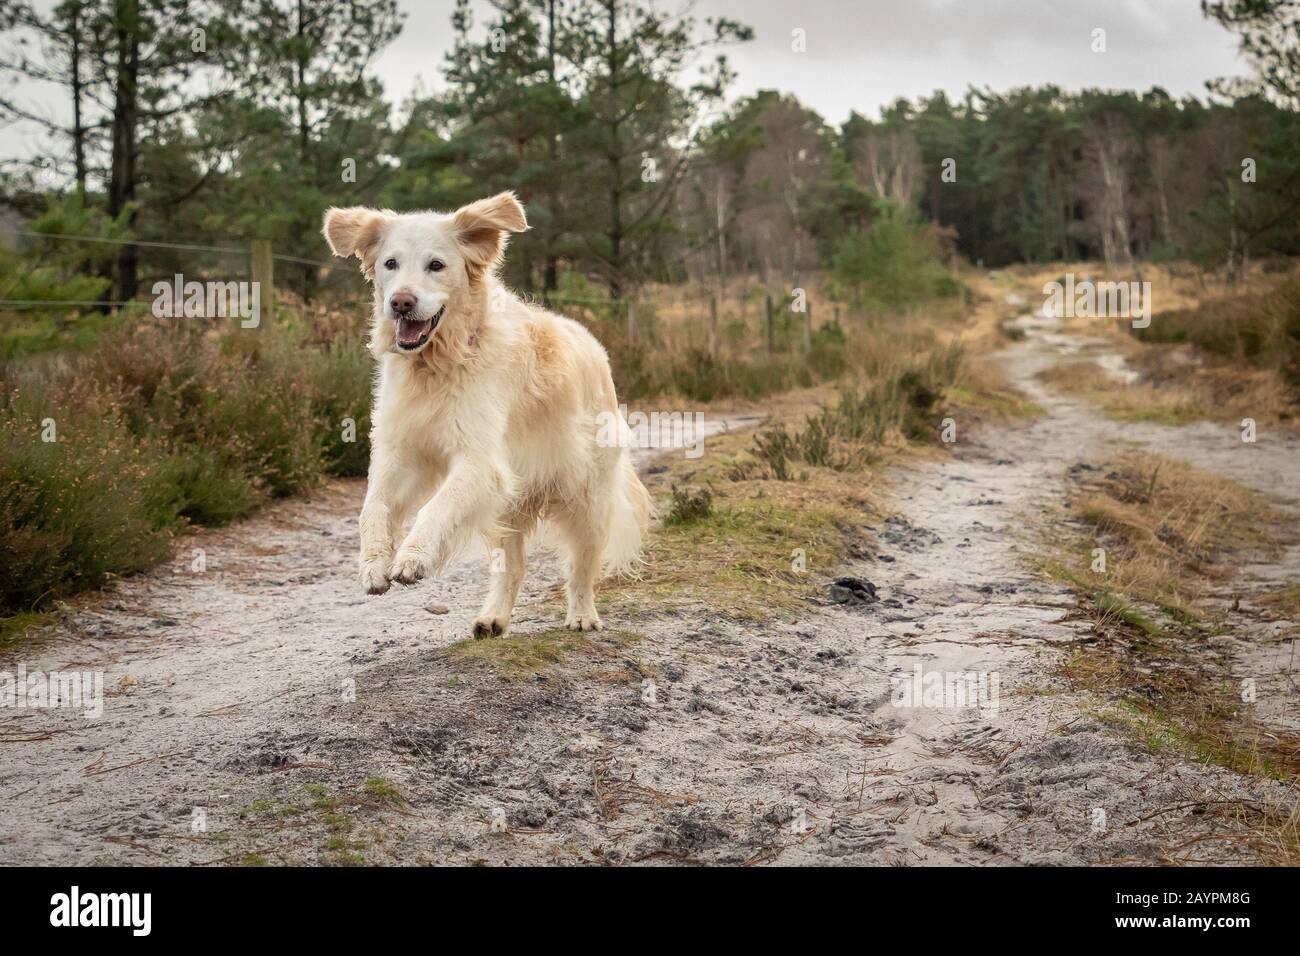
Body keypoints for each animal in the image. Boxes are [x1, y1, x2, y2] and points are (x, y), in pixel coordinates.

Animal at [325, 192, 650, 634]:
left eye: (436, 265)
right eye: (390, 264)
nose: (400, 303)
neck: (438, 364)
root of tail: (596, 347)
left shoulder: (480, 461)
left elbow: (435, 507)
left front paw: (412, 557)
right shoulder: (401, 453)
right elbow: (372, 508)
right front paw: (374, 564)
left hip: (587, 498)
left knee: (582, 567)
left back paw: (582, 616)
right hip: (507, 506)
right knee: (512, 566)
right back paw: (494, 617)